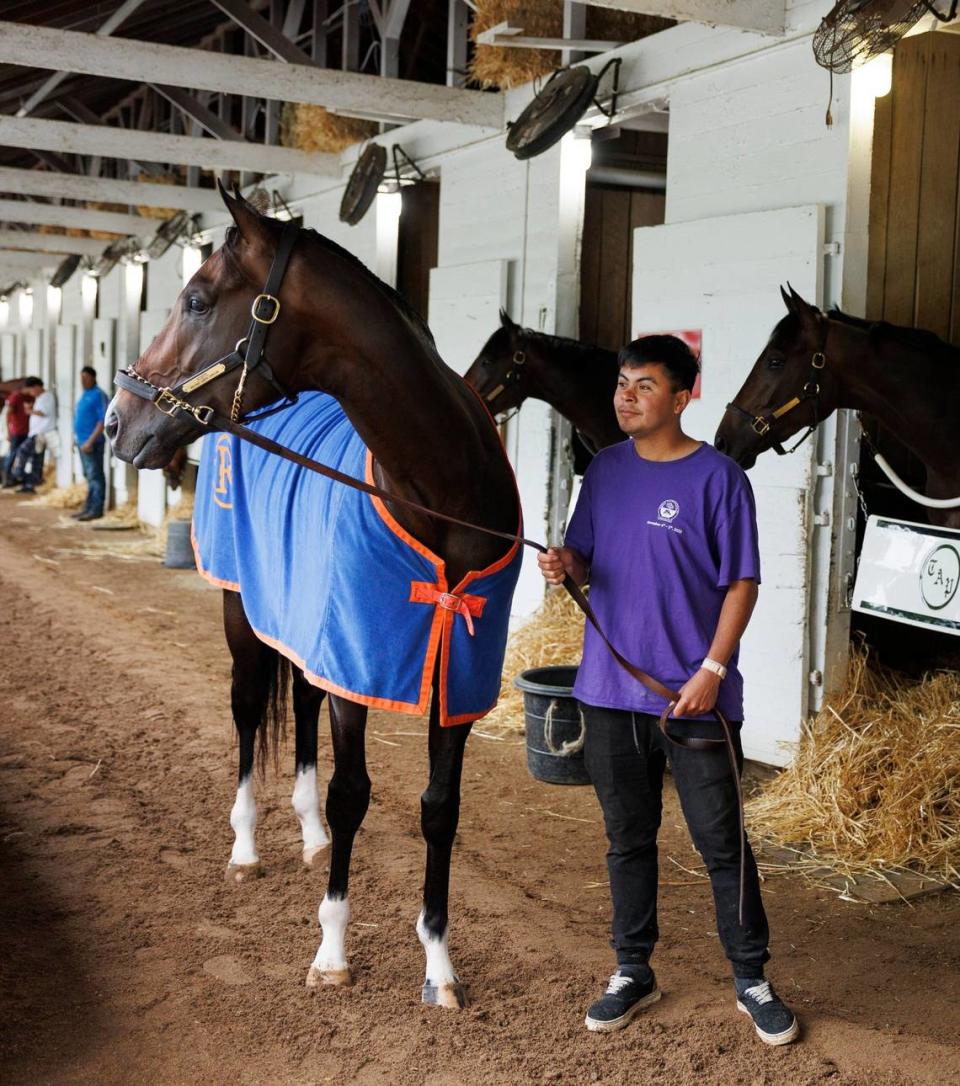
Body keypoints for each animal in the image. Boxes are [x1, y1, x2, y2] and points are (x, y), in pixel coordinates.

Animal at [104, 186, 516, 1007]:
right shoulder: (361, 659)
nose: (116, 421)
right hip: (242, 610)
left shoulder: (455, 673)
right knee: (244, 709)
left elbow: (440, 809)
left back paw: (309, 838)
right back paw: (246, 848)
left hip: (304, 618)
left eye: (197, 300)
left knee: (297, 702)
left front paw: (439, 964)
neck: (445, 489)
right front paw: (331, 953)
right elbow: (352, 792)